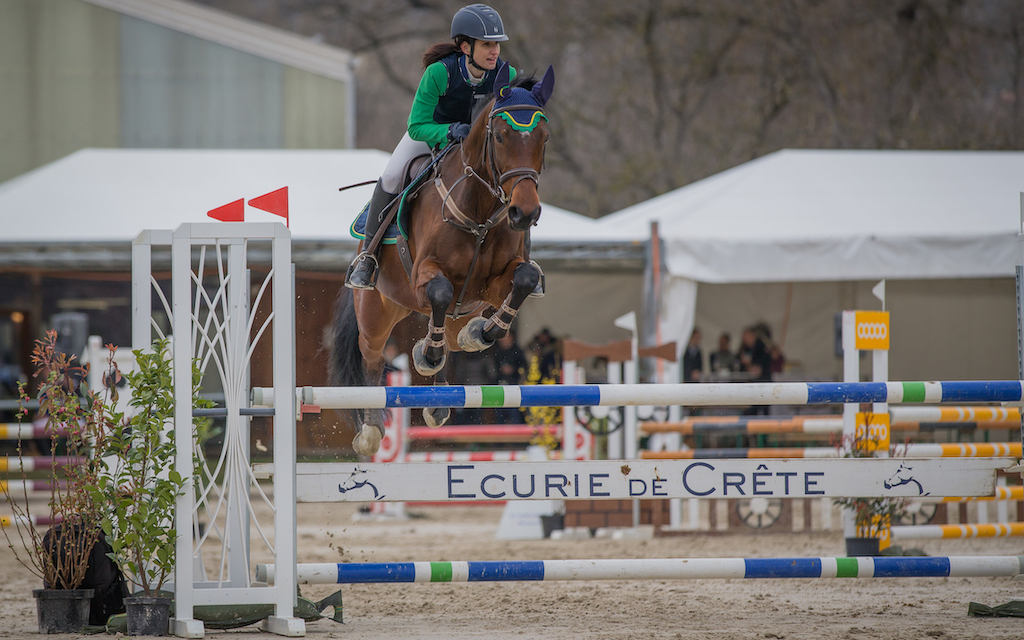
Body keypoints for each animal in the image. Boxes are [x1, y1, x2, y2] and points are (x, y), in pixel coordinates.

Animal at [329, 63, 552, 454]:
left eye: (544, 138)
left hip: (451, 311)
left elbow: (523, 280)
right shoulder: (425, 275)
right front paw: (426, 355)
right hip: (376, 311)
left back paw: (443, 393)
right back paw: (371, 429)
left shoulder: (492, 286)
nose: (524, 213)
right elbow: (440, 291)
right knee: (372, 356)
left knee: (450, 337)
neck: (479, 211)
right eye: (500, 137)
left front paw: (479, 333)